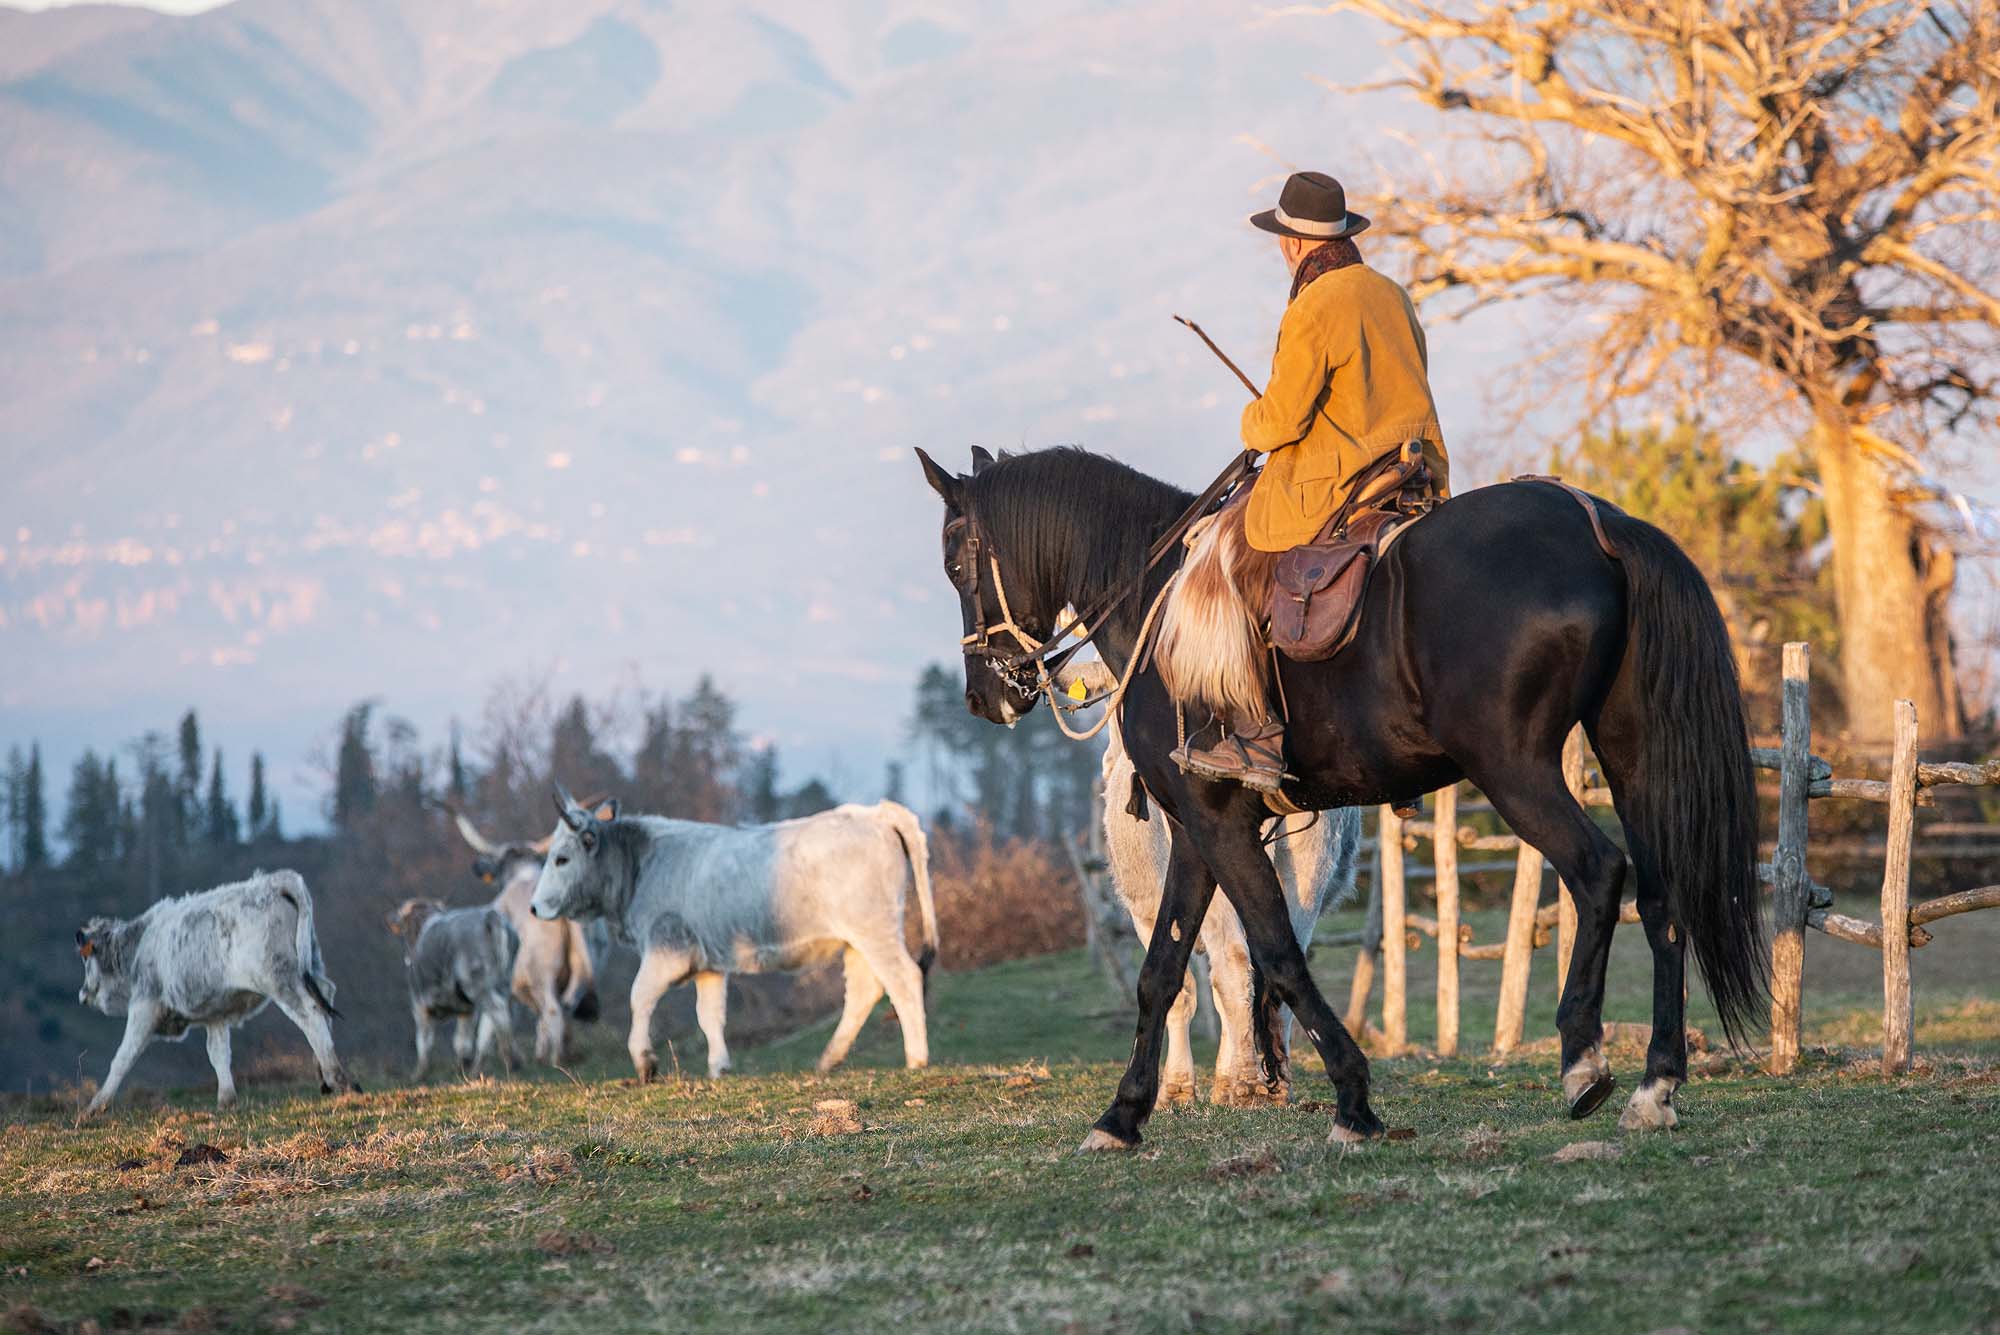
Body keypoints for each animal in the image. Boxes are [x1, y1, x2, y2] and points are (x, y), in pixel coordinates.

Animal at [75, 871, 360, 1119]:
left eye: (86, 960)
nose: (82, 994)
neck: (140, 945)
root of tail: (275, 881)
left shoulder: (145, 1005)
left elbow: (123, 1056)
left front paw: (96, 1106)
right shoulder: (216, 1013)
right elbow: (218, 1053)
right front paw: (226, 1100)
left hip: (281, 980)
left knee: (310, 1014)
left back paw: (336, 1077)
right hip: (310, 966)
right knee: (325, 999)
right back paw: (325, 1078)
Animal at [382, 895, 520, 1071]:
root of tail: (489, 916)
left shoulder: (419, 1005)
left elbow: (424, 1041)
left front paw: (420, 1072)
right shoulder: (467, 1010)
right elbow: (462, 1041)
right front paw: (463, 1064)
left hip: (477, 985)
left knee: (497, 1012)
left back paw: (512, 1059)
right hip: (503, 983)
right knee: (494, 1022)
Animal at [528, 787, 940, 1079]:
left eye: (561, 858)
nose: (534, 907)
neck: (641, 865)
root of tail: (873, 811)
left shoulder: (667, 949)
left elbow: (639, 997)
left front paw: (645, 1062)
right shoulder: (709, 963)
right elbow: (709, 1014)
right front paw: (719, 1067)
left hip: (875, 929)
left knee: (904, 978)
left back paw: (916, 1058)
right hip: (857, 940)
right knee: (864, 990)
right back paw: (828, 1059)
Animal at [916, 445, 1760, 1151]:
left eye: (956, 560)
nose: (986, 695)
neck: (1156, 598)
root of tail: (1601, 524)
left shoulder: (1221, 823)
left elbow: (1278, 953)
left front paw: (1353, 1099)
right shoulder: (1195, 829)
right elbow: (1162, 968)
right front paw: (1122, 1114)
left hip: (1514, 767)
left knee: (1596, 872)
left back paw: (1583, 1057)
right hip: (1631, 759)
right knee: (1662, 898)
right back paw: (1656, 1085)